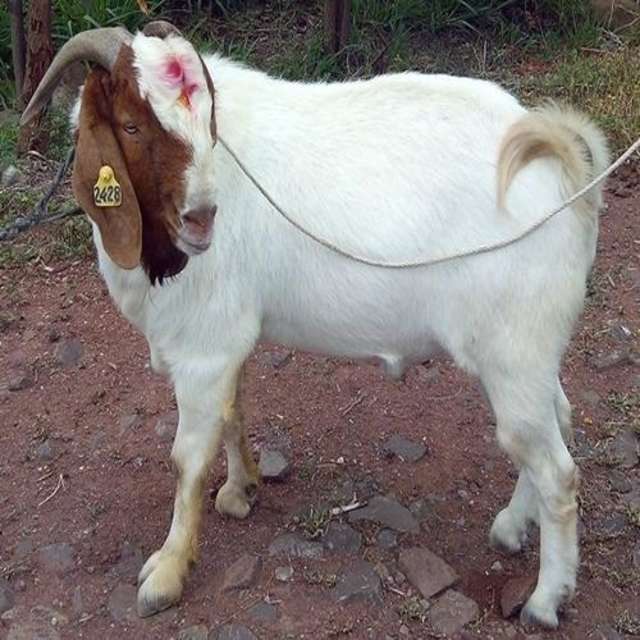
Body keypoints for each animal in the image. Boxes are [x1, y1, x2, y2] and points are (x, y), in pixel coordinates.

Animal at [21, 20, 610, 628]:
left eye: (206, 123)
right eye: (132, 124)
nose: (202, 219)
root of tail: (561, 162)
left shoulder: (203, 349)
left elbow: (187, 459)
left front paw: (166, 573)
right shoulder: (230, 343)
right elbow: (233, 413)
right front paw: (241, 490)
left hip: (514, 352)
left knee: (555, 470)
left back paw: (544, 599)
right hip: (530, 351)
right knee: (558, 422)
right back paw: (512, 529)